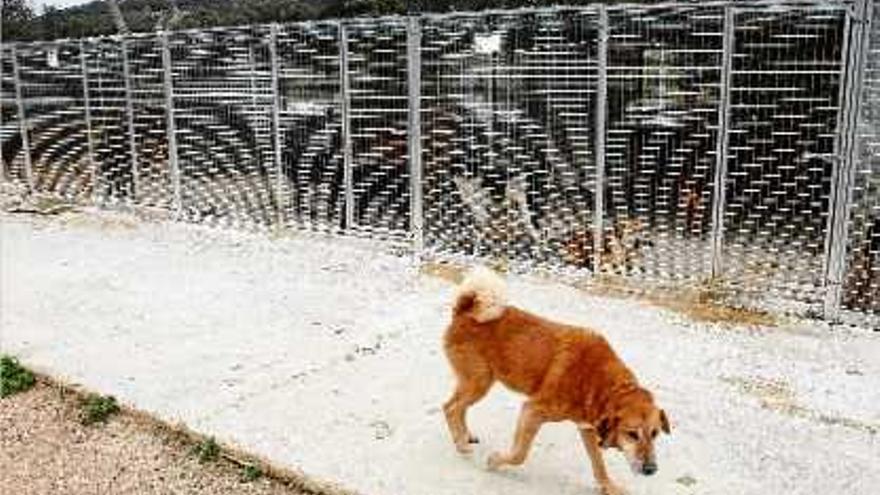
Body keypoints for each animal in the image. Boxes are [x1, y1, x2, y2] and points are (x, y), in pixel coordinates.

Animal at [444, 268, 672, 495]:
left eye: (655, 434)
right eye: (632, 434)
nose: (651, 469)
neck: (601, 382)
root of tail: (465, 309)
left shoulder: (587, 429)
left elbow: (598, 465)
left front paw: (609, 486)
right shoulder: (532, 411)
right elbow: (519, 454)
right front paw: (494, 461)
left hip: (479, 382)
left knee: (459, 407)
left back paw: (465, 436)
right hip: (479, 382)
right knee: (451, 407)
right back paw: (461, 444)